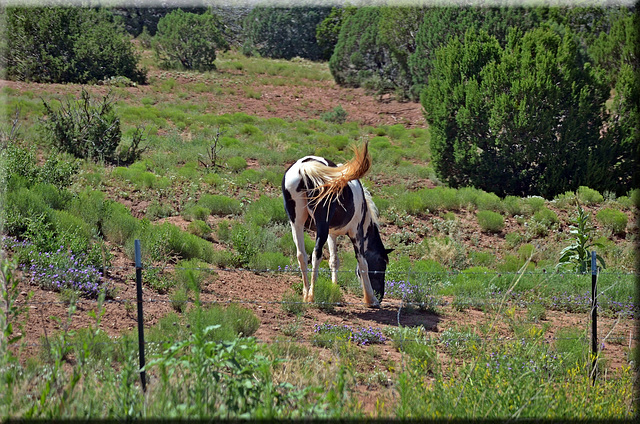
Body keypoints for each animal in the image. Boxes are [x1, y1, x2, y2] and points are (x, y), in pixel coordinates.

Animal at [284, 142, 392, 308]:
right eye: (382, 265)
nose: (380, 296)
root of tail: (304, 167)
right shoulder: (356, 233)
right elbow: (363, 263)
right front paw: (370, 299)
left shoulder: (332, 234)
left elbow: (334, 261)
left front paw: (334, 291)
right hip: (320, 227)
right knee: (316, 255)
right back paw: (312, 295)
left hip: (297, 223)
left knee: (301, 255)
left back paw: (306, 294)